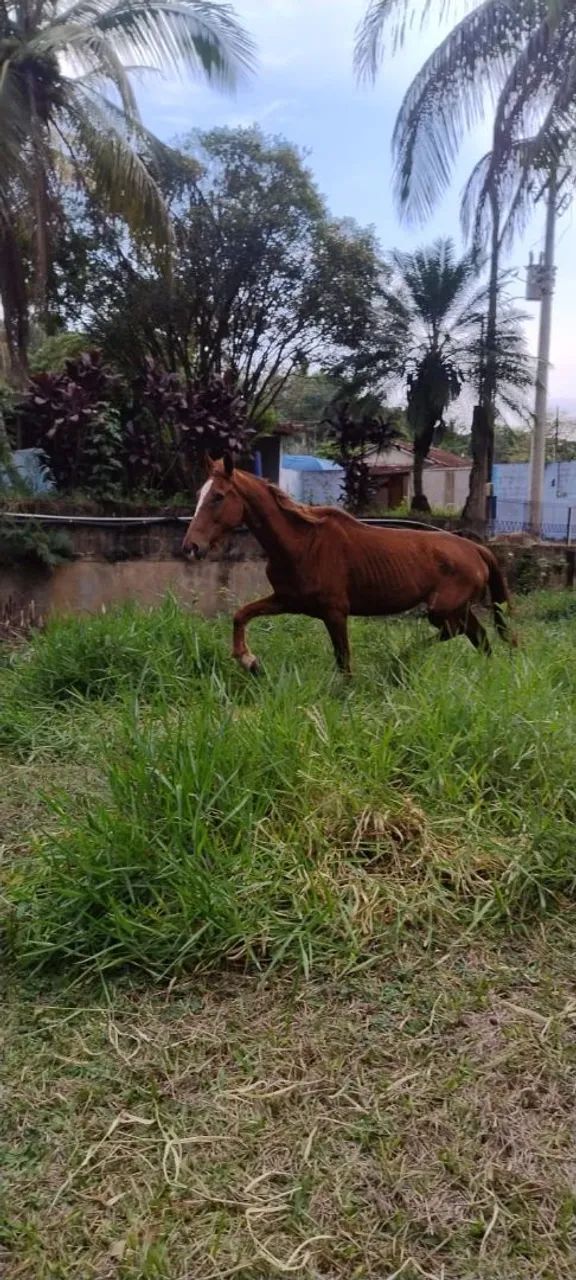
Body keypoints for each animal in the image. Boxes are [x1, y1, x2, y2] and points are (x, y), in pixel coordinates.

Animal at [182, 455, 515, 675]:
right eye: (199, 494)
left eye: (218, 497)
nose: (191, 547)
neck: (302, 543)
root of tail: (476, 548)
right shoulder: (287, 600)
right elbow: (241, 614)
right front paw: (249, 660)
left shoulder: (335, 612)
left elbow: (344, 663)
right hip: (457, 608)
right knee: (479, 637)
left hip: (443, 608)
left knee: (458, 631)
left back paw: (400, 658)